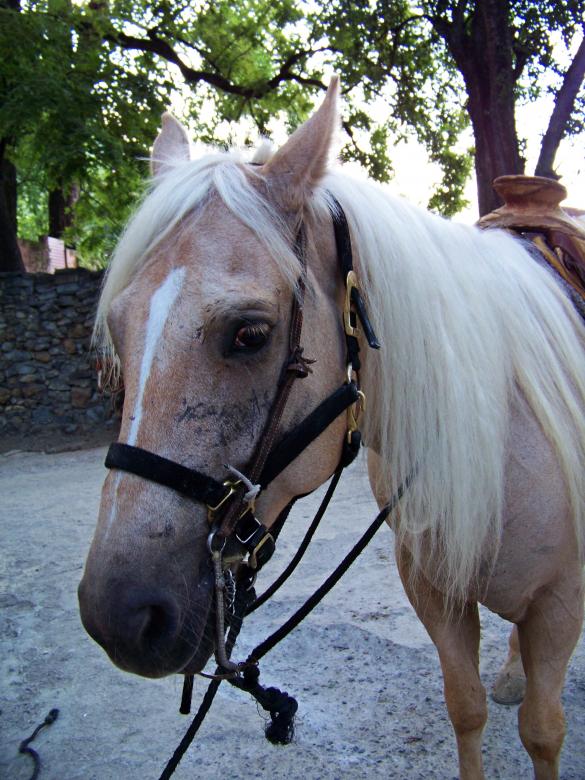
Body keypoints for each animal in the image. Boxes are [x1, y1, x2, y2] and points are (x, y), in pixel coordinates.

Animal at [78, 78, 585, 780]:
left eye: (250, 333)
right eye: (119, 330)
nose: (119, 616)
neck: (504, 439)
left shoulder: (562, 603)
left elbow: (543, 731)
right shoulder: (435, 590)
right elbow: (466, 708)